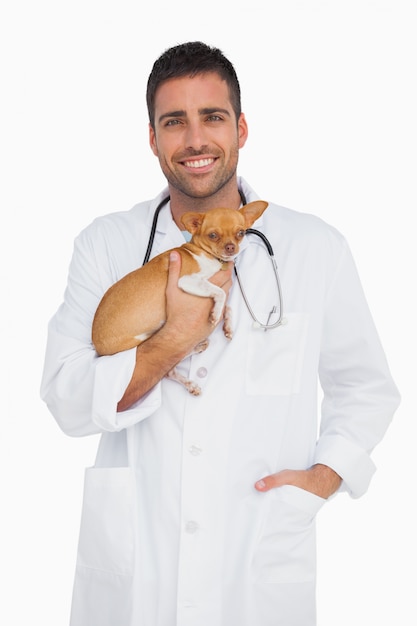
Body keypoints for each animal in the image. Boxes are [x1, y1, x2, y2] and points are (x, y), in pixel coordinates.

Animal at [92, 200, 266, 392]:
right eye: (213, 235)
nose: (230, 247)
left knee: (171, 370)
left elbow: (228, 306)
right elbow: (220, 293)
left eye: (240, 233)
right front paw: (215, 314)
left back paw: (191, 377)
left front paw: (227, 325)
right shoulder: (187, 281)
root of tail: (97, 345)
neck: (208, 256)